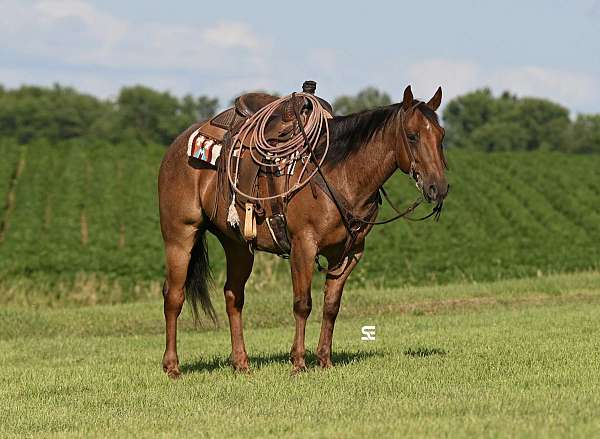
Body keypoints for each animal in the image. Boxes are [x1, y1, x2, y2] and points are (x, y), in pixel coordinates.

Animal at [157, 85, 448, 378]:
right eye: (412, 136)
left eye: (441, 135)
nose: (439, 187)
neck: (339, 173)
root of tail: (177, 146)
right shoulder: (303, 246)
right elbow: (302, 304)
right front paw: (298, 362)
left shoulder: (349, 253)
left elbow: (331, 306)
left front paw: (325, 360)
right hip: (179, 236)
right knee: (174, 296)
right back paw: (172, 366)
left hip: (237, 245)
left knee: (233, 296)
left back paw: (241, 363)